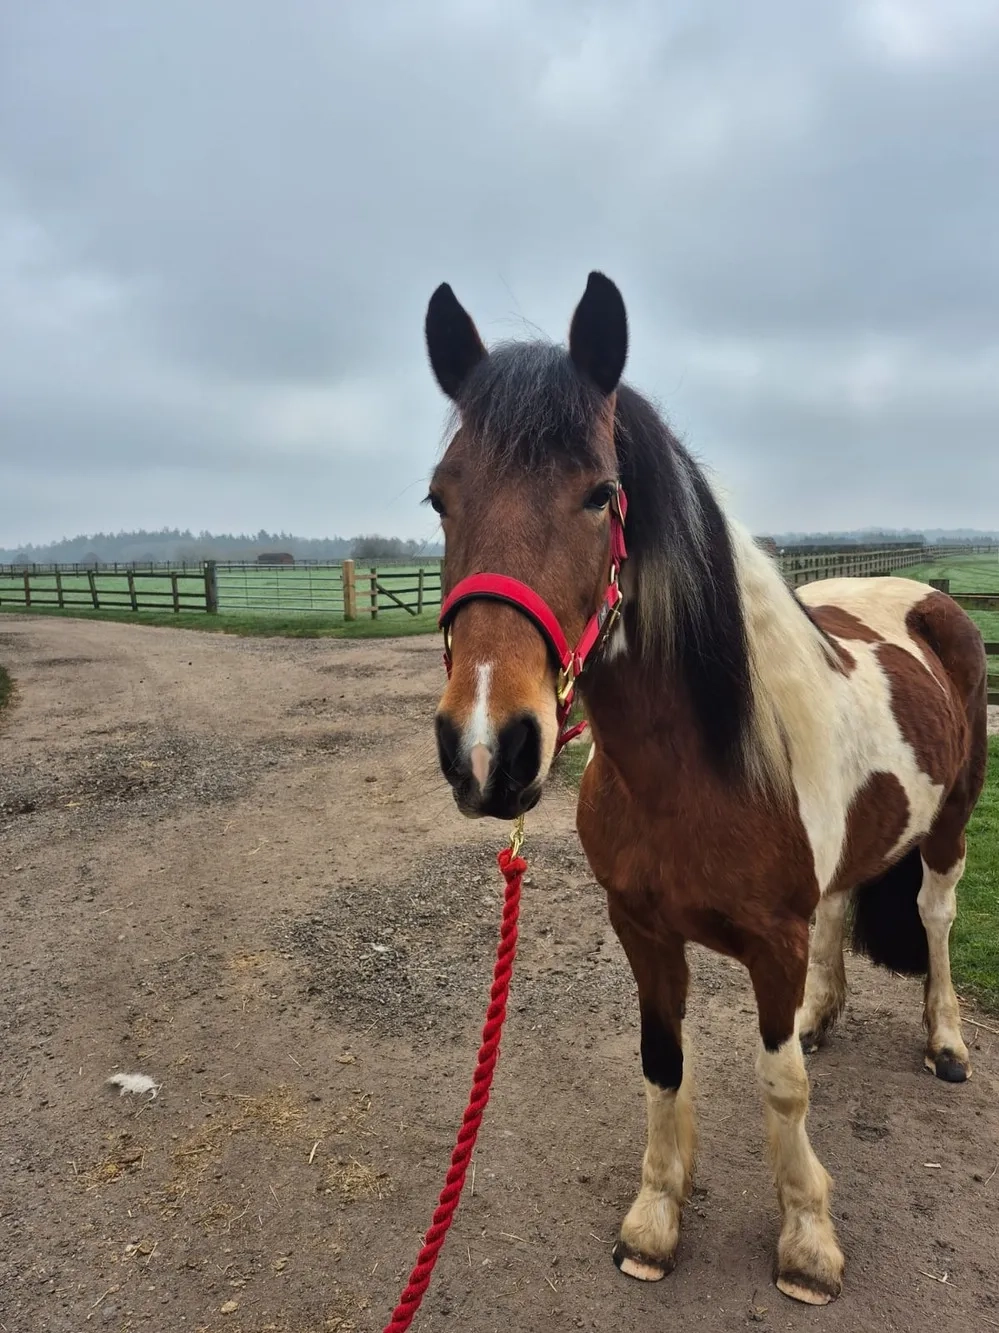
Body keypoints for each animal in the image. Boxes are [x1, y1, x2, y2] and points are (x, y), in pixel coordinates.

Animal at [423, 272, 988, 1305]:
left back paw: (945, 1040)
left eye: (601, 493)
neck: (695, 773)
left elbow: (780, 1086)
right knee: (844, 905)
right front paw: (655, 1216)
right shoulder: (641, 929)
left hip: (951, 820)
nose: (488, 748)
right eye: (440, 496)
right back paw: (823, 1012)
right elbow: (662, 1063)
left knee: (932, 916)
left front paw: (806, 1240)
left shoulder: (771, 942)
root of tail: (926, 597)